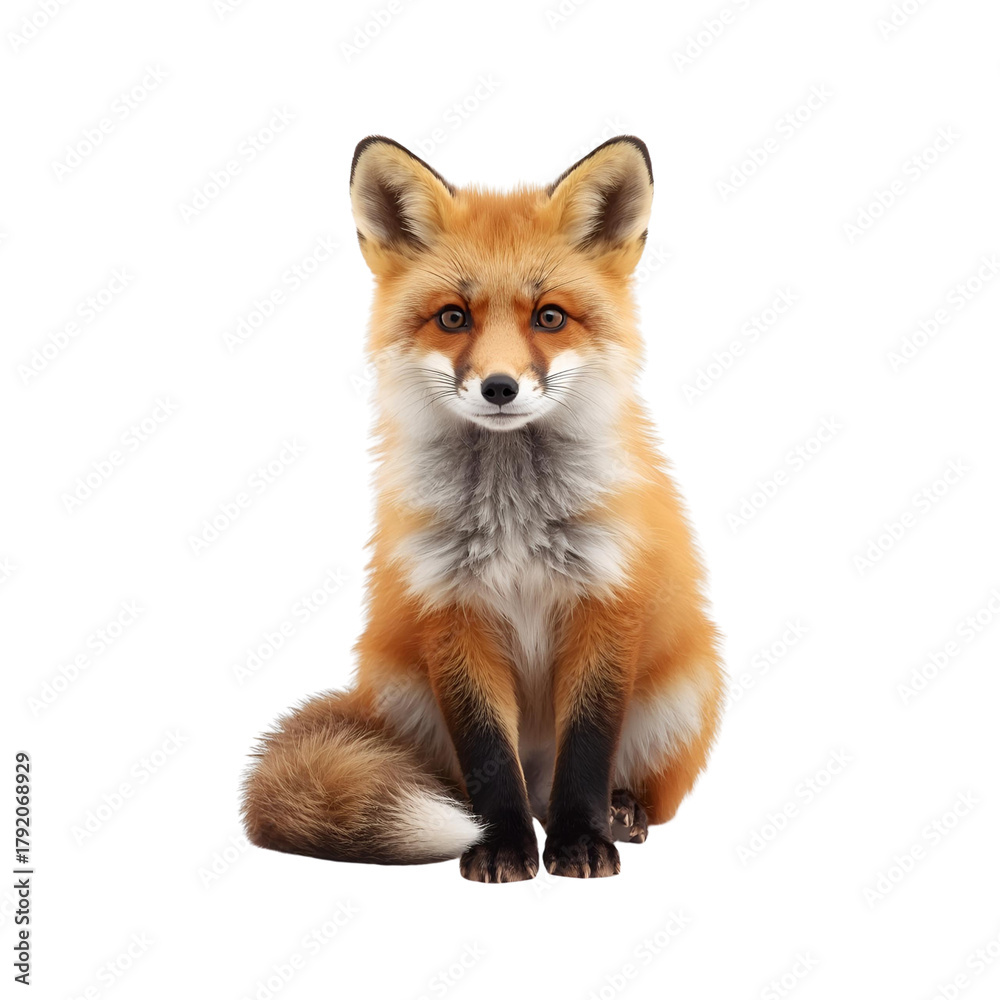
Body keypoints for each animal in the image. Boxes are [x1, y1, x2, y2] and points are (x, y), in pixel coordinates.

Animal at [241, 134, 724, 881]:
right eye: (453, 317)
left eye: (549, 317)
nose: (499, 387)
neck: (513, 516)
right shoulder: (451, 612)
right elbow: (489, 755)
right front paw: (499, 848)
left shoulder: (605, 603)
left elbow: (589, 747)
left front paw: (581, 844)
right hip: (403, 692)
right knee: (469, 781)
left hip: (686, 691)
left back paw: (619, 813)